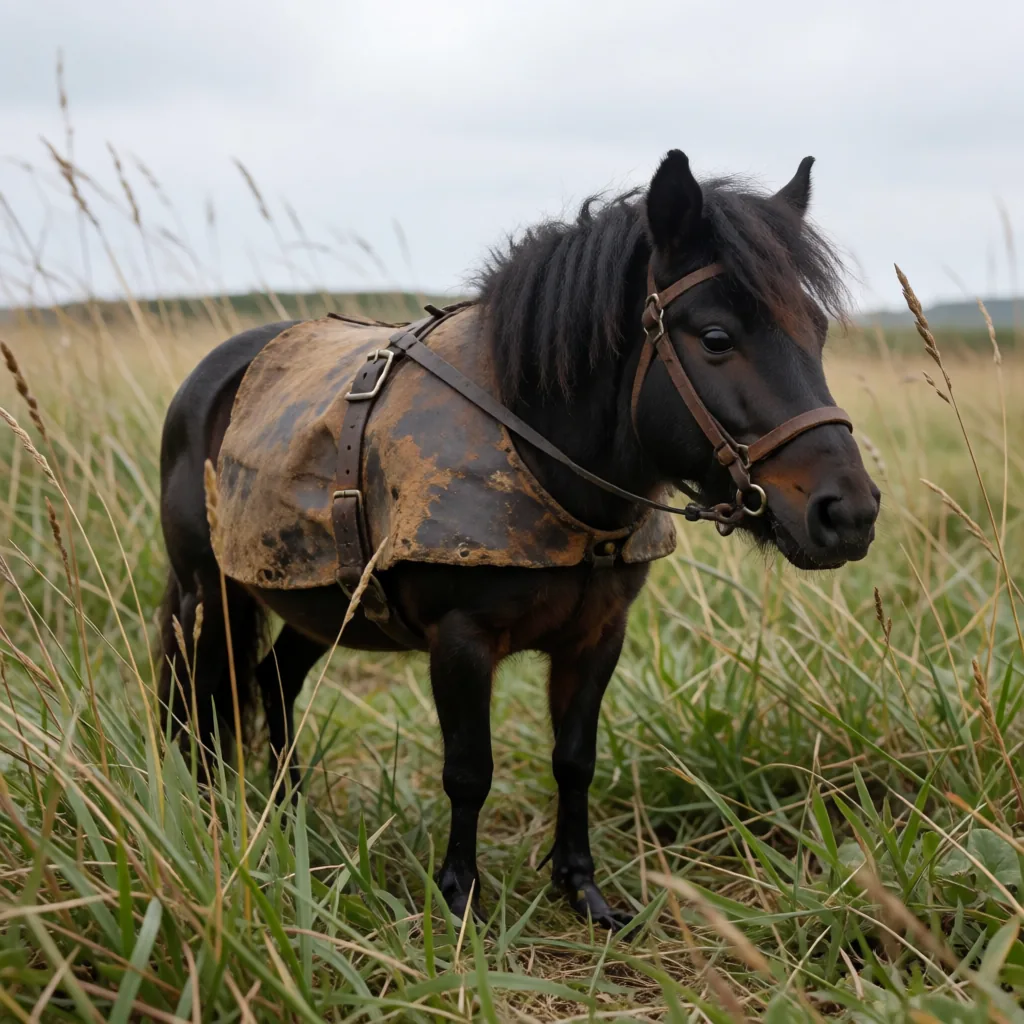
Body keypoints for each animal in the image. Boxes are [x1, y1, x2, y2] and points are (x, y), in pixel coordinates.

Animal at [157, 149, 880, 929]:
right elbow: (469, 771)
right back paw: (209, 815)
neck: (539, 453)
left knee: (274, 680)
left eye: (817, 332)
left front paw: (582, 890)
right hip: (209, 597)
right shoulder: (461, 640)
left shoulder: (598, 636)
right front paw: (460, 899)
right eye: (716, 338)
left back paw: (288, 818)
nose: (848, 512)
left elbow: (575, 760)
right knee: (197, 701)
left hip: (322, 604)